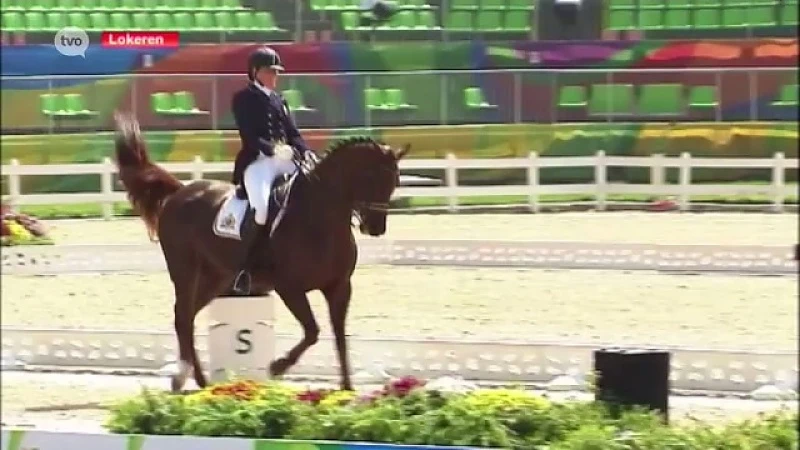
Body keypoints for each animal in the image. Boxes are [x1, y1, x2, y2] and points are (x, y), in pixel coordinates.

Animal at [112, 111, 410, 390]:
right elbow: (312, 331)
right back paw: (183, 377)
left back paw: (200, 380)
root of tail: (180, 192)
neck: (319, 218)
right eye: (370, 177)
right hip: (184, 269)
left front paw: (346, 389)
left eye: (394, 181)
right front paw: (277, 366)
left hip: (215, 276)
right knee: (182, 316)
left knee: (190, 316)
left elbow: (339, 336)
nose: (375, 228)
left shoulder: (339, 287)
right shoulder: (289, 288)